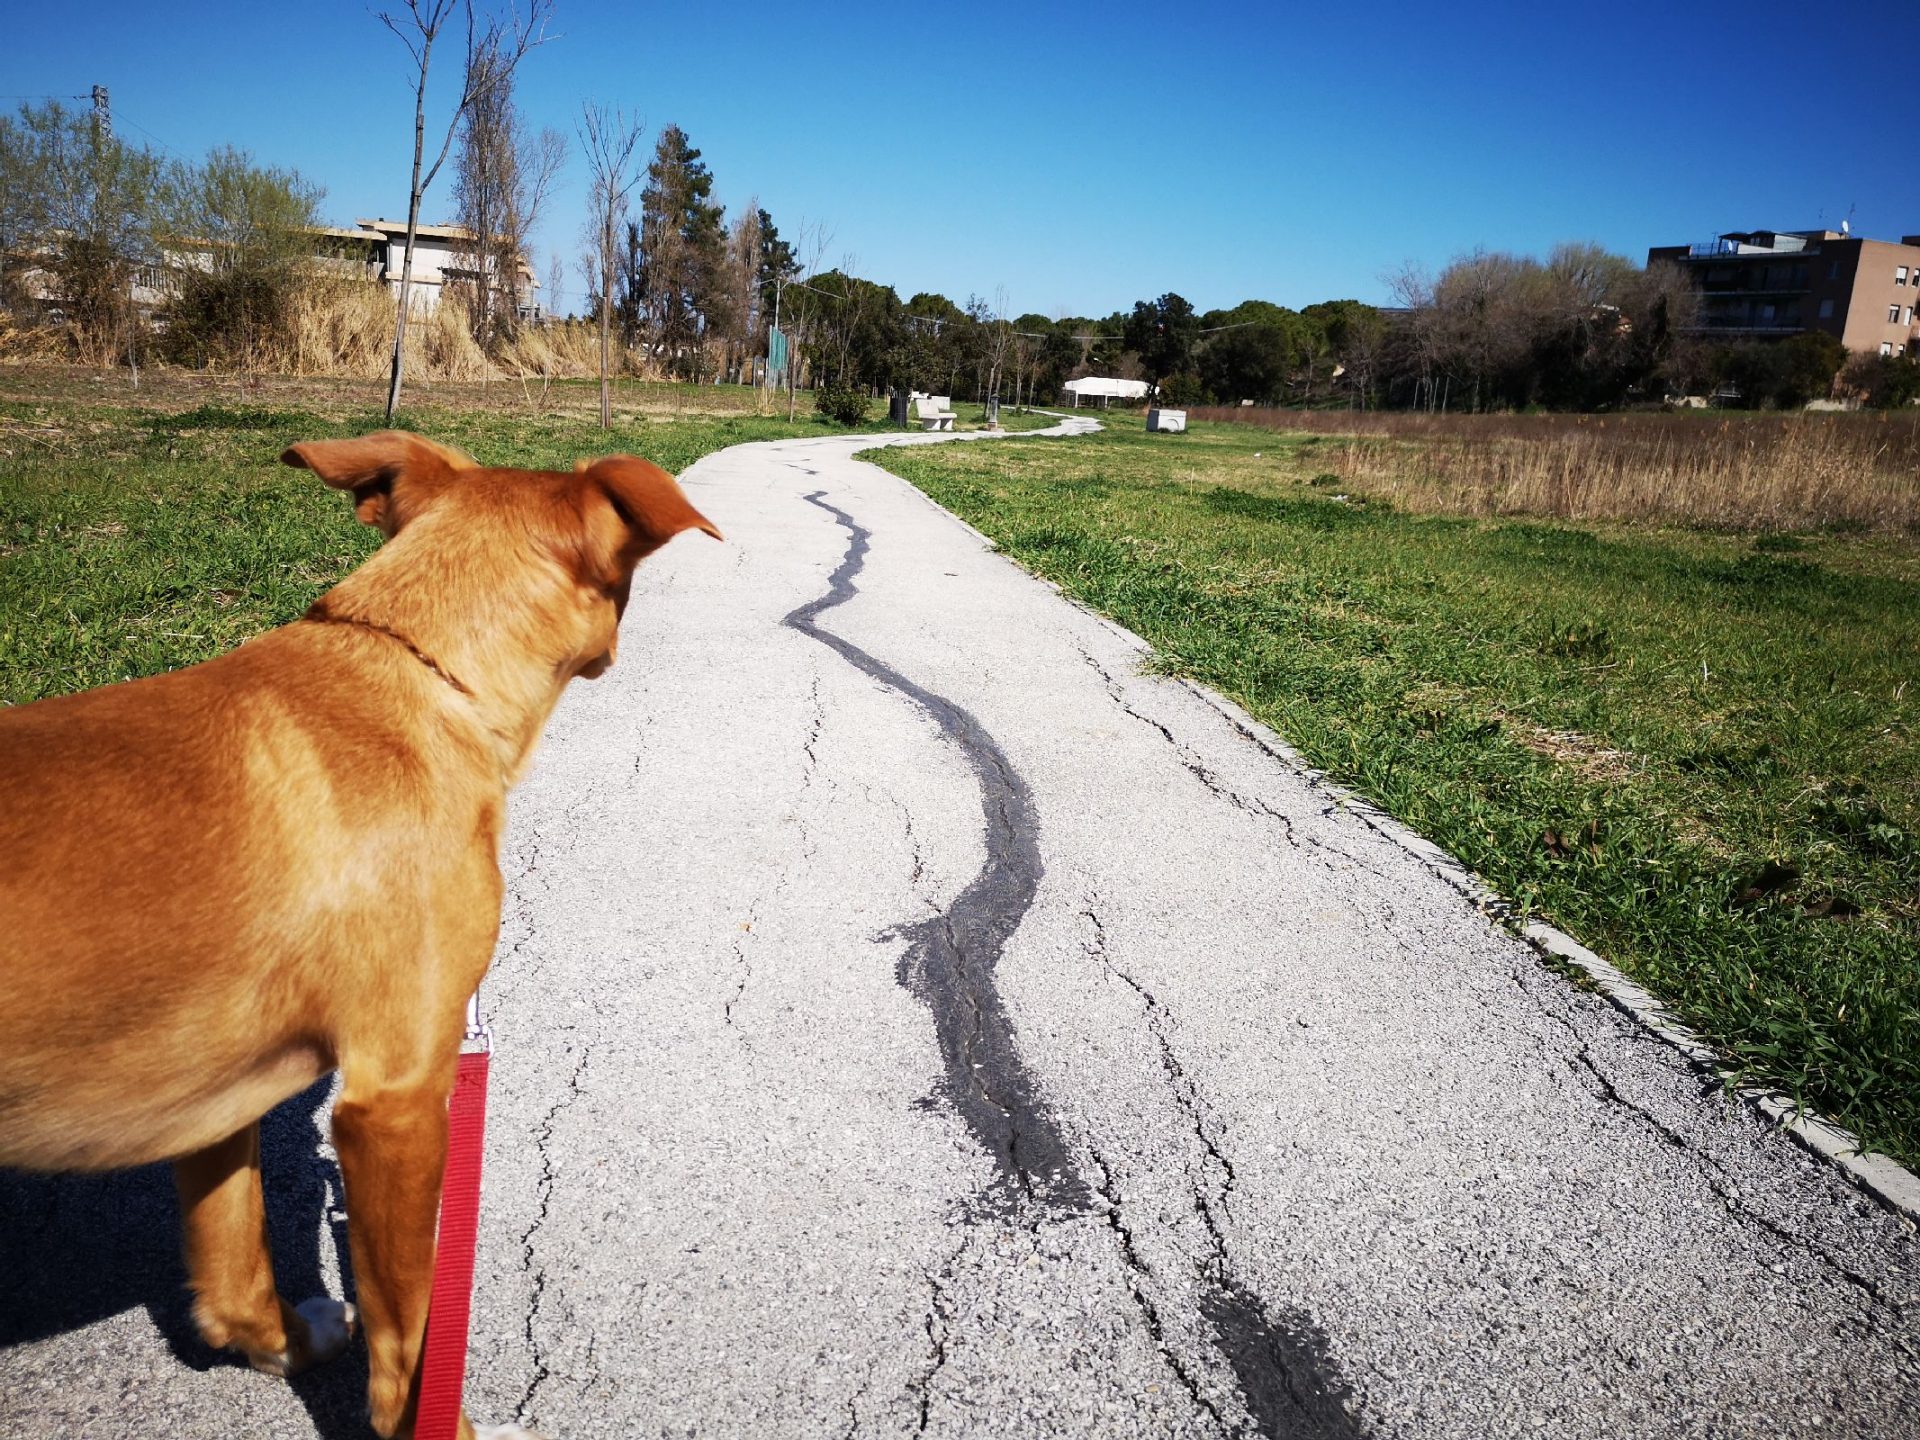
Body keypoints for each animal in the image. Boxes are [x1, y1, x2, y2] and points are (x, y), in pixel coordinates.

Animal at [0, 431, 720, 1438]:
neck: (416, 667)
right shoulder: (397, 1098)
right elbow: (410, 1346)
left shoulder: (217, 1093)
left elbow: (234, 1275)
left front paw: (284, 1345)